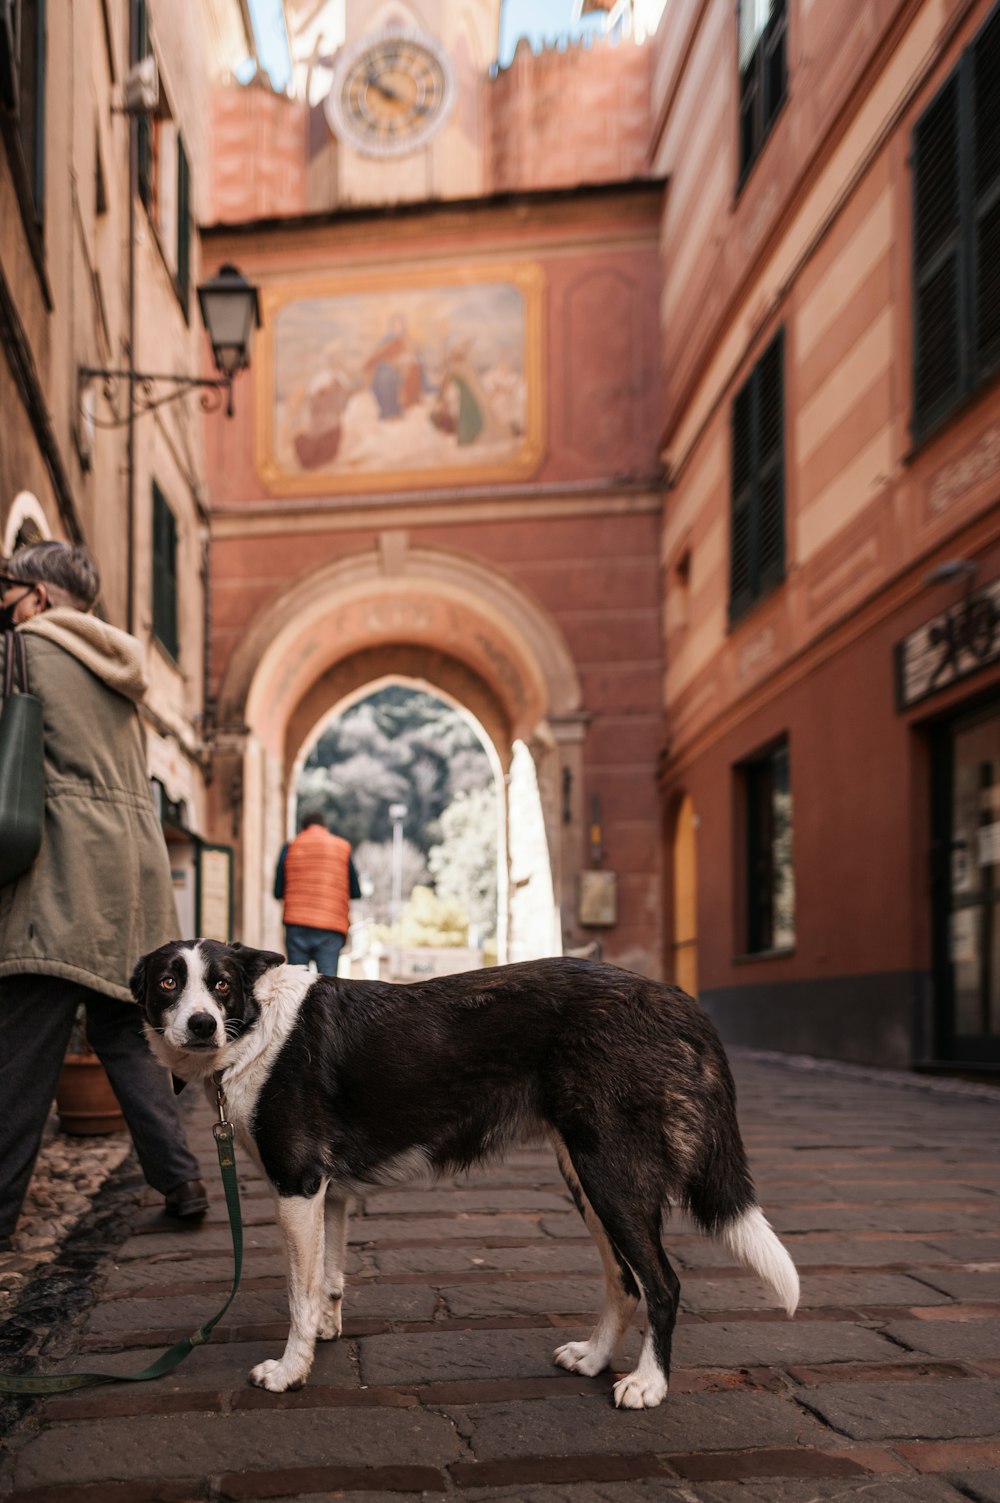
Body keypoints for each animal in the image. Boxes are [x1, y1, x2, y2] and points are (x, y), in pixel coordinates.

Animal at [132, 937, 800, 1406]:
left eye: (220, 985)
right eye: (168, 983)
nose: (201, 1025)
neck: (252, 1026)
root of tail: (673, 998)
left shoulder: (297, 1184)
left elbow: (298, 1293)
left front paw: (291, 1371)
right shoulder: (328, 1193)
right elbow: (326, 1279)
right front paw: (324, 1335)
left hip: (610, 1174)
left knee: (661, 1283)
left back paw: (650, 1384)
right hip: (586, 1177)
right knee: (625, 1279)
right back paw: (593, 1358)